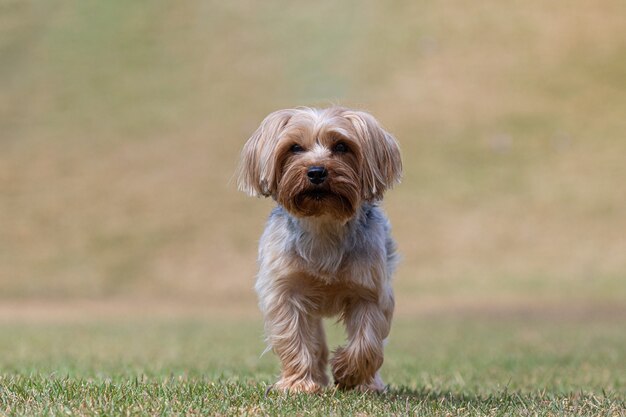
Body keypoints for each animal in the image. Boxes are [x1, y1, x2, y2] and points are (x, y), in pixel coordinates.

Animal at [236, 105, 402, 392]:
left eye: (341, 145)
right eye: (294, 147)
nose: (316, 171)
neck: (323, 221)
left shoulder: (370, 287)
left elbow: (367, 340)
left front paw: (348, 372)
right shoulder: (285, 289)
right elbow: (292, 337)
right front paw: (298, 385)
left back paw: (369, 383)